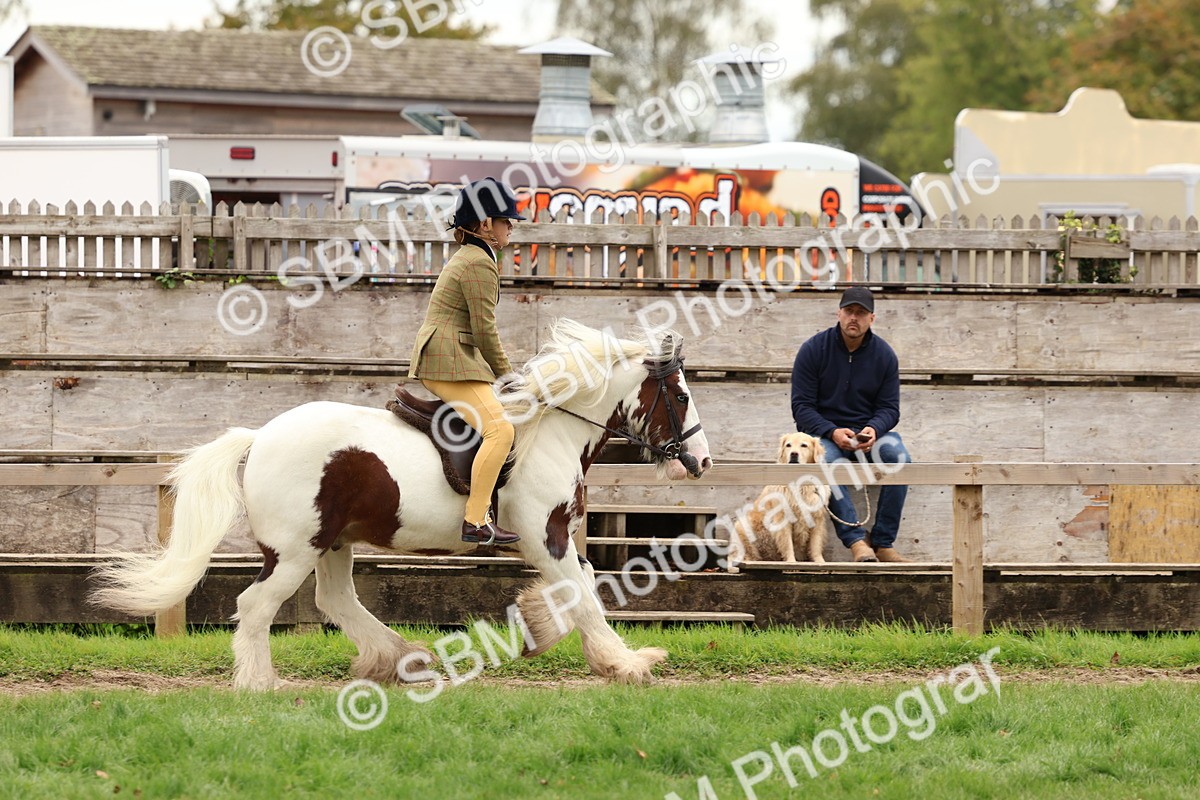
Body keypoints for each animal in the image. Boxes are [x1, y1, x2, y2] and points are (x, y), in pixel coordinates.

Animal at [93, 319, 713, 690]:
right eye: (681, 396)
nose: (702, 460)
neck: (549, 432)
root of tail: (260, 434)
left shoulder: (557, 540)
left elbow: (583, 589)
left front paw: (570, 639)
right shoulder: (548, 538)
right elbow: (582, 597)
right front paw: (624, 663)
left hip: (333, 542)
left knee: (335, 599)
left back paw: (399, 658)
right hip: (294, 548)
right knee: (257, 605)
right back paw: (260, 682)